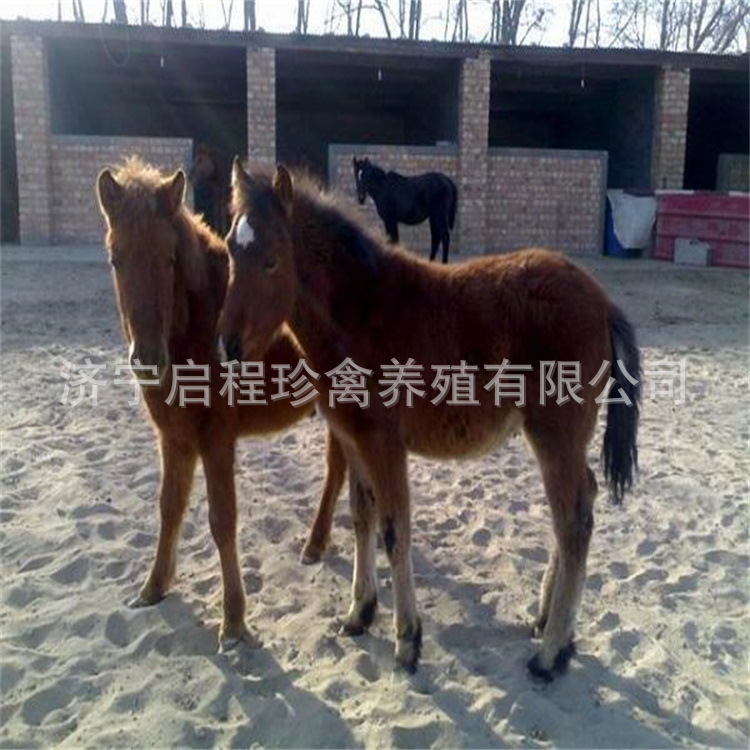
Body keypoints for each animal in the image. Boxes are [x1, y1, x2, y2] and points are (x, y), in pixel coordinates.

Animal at [95, 157, 349, 651]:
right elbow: (169, 506)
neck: (194, 331)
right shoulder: (173, 438)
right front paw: (154, 586)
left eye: (169, 258)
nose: (147, 358)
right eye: (115, 259)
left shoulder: (216, 440)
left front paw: (233, 621)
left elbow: (221, 519)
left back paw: (316, 543)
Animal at [218, 160, 641, 680]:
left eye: (273, 260)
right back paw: (547, 621)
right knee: (584, 501)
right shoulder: (352, 437)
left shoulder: (384, 443)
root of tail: (602, 302)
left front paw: (407, 641)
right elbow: (361, 516)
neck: (360, 313)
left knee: (573, 520)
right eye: (230, 249)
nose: (228, 345)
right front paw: (359, 612)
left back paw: (550, 654)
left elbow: (394, 529)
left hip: (555, 435)